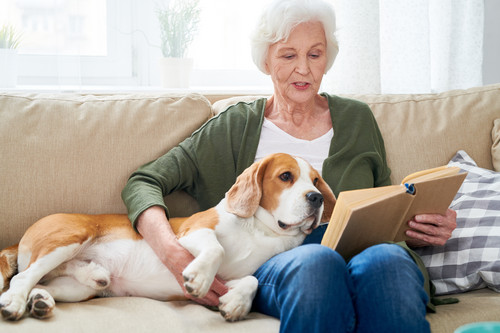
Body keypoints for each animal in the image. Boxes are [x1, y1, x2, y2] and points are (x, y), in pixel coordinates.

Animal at [0, 152, 336, 320]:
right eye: (285, 176)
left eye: (316, 180)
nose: (316, 198)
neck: (260, 230)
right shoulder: (191, 233)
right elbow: (216, 249)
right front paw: (198, 276)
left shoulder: (229, 281)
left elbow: (251, 281)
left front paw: (237, 304)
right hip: (72, 237)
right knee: (22, 279)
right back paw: (17, 303)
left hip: (74, 288)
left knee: (42, 282)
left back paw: (58, 291)